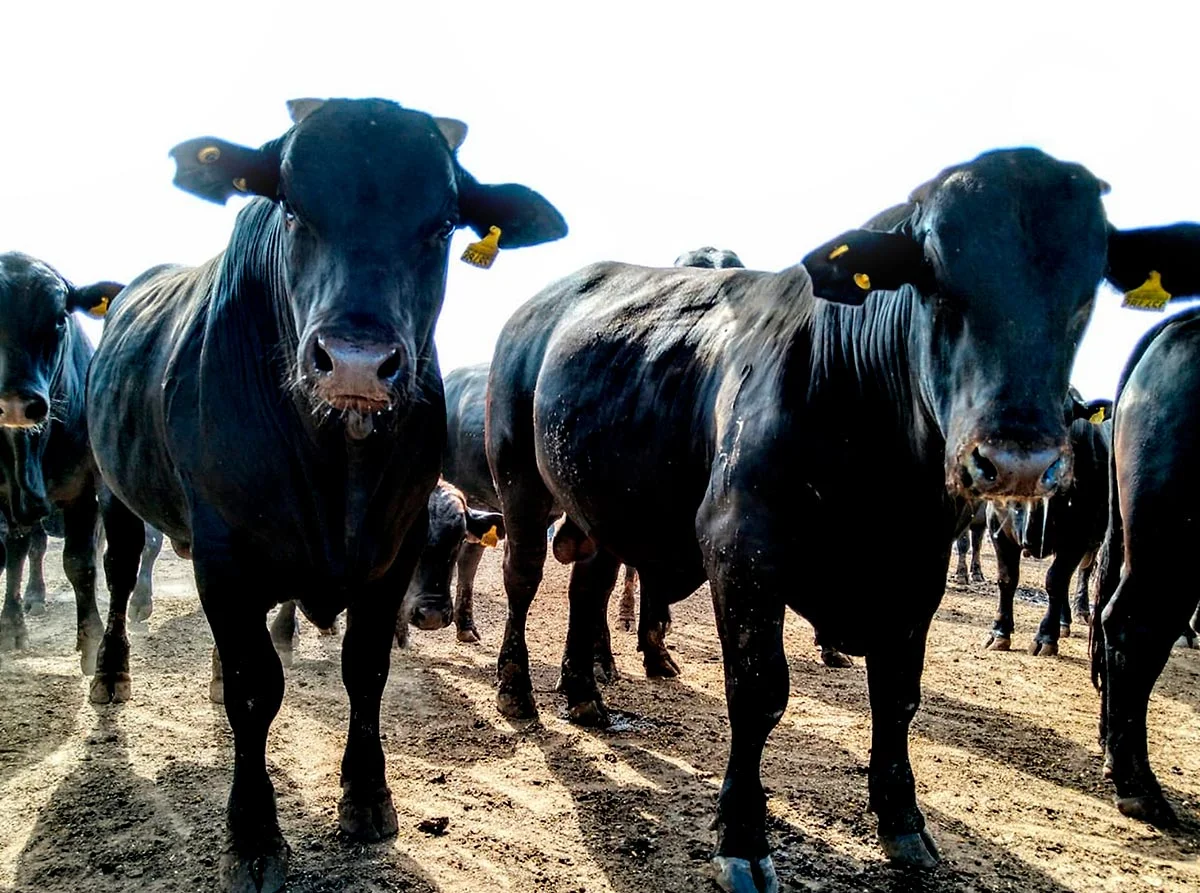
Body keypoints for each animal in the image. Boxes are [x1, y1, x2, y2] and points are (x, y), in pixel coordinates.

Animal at [0, 250, 118, 672]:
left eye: (58, 318)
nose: (16, 403)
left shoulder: (84, 489)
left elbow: (80, 563)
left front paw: (91, 642)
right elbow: (13, 554)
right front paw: (10, 626)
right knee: (24, 549)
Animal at [83, 97, 566, 893]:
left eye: (442, 223)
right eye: (292, 207)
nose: (358, 362)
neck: (338, 462)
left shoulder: (394, 548)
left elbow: (364, 669)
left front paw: (367, 799)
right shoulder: (225, 549)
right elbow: (255, 686)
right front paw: (253, 836)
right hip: (116, 495)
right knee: (121, 577)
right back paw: (109, 675)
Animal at [988, 412, 1108, 657]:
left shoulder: (1078, 536)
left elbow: (1055, 581)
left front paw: (1046, 638)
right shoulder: (997, 525)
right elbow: (1007, 579)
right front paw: (1000, 632)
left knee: (1081, 572)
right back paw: (1064, 622)